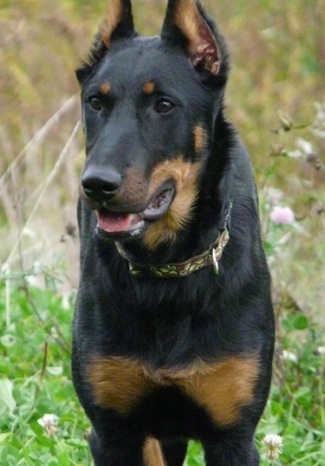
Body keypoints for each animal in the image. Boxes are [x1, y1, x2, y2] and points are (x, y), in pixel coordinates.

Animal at [73, 1, 274, 464]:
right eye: (96, 102)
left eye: (164, 104)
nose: (96, 184)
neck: (167, 270)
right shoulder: (114, 433)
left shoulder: (233, 438)